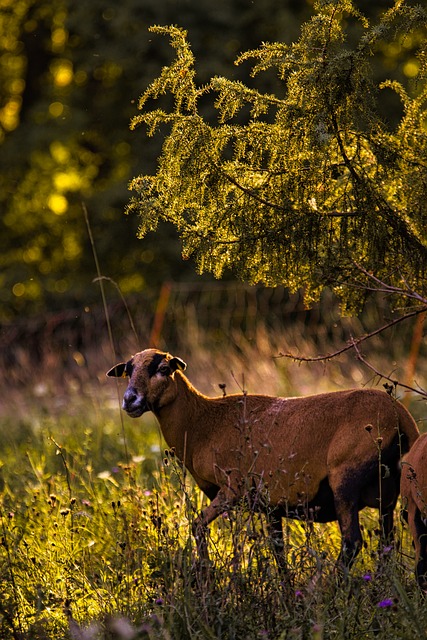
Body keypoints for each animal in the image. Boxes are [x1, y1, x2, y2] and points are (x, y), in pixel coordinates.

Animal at [108, 350, 420, 568]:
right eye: (128, 371)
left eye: (163, 369)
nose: (130, 400)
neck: (203, 423)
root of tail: (401, 418)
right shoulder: (272, 505)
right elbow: (278, 551)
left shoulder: (232, 490)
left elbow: (197, 527)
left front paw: (206, 577)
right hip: (388, 495)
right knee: (387, 544)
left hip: (346, 482)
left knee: (352, 543)